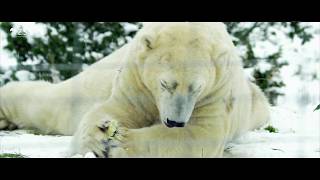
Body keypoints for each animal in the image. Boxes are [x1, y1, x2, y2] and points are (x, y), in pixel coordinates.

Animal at [0, 22, 270, 158]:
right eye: (164, 84)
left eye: (196, 88)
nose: (174, 122)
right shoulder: (136, 79)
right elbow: (116, 108)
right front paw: (100, 136)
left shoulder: (218, 92)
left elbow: (200, 135)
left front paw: (121, 143)